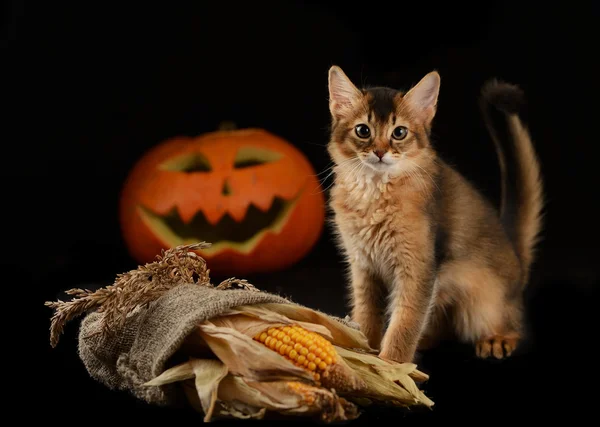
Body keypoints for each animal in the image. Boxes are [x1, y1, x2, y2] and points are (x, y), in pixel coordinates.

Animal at [326, 67, 548, 364]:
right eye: (363, 130)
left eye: (399, 132)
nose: (380, 152)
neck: (373, 193)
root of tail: (516, 258)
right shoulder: (363, 266)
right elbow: (367, 316)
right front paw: (363, 350)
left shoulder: (419, 267)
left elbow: (405, 323)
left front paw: (392, 365)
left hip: (483, 305)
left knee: (513, 325)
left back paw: (498, 339)